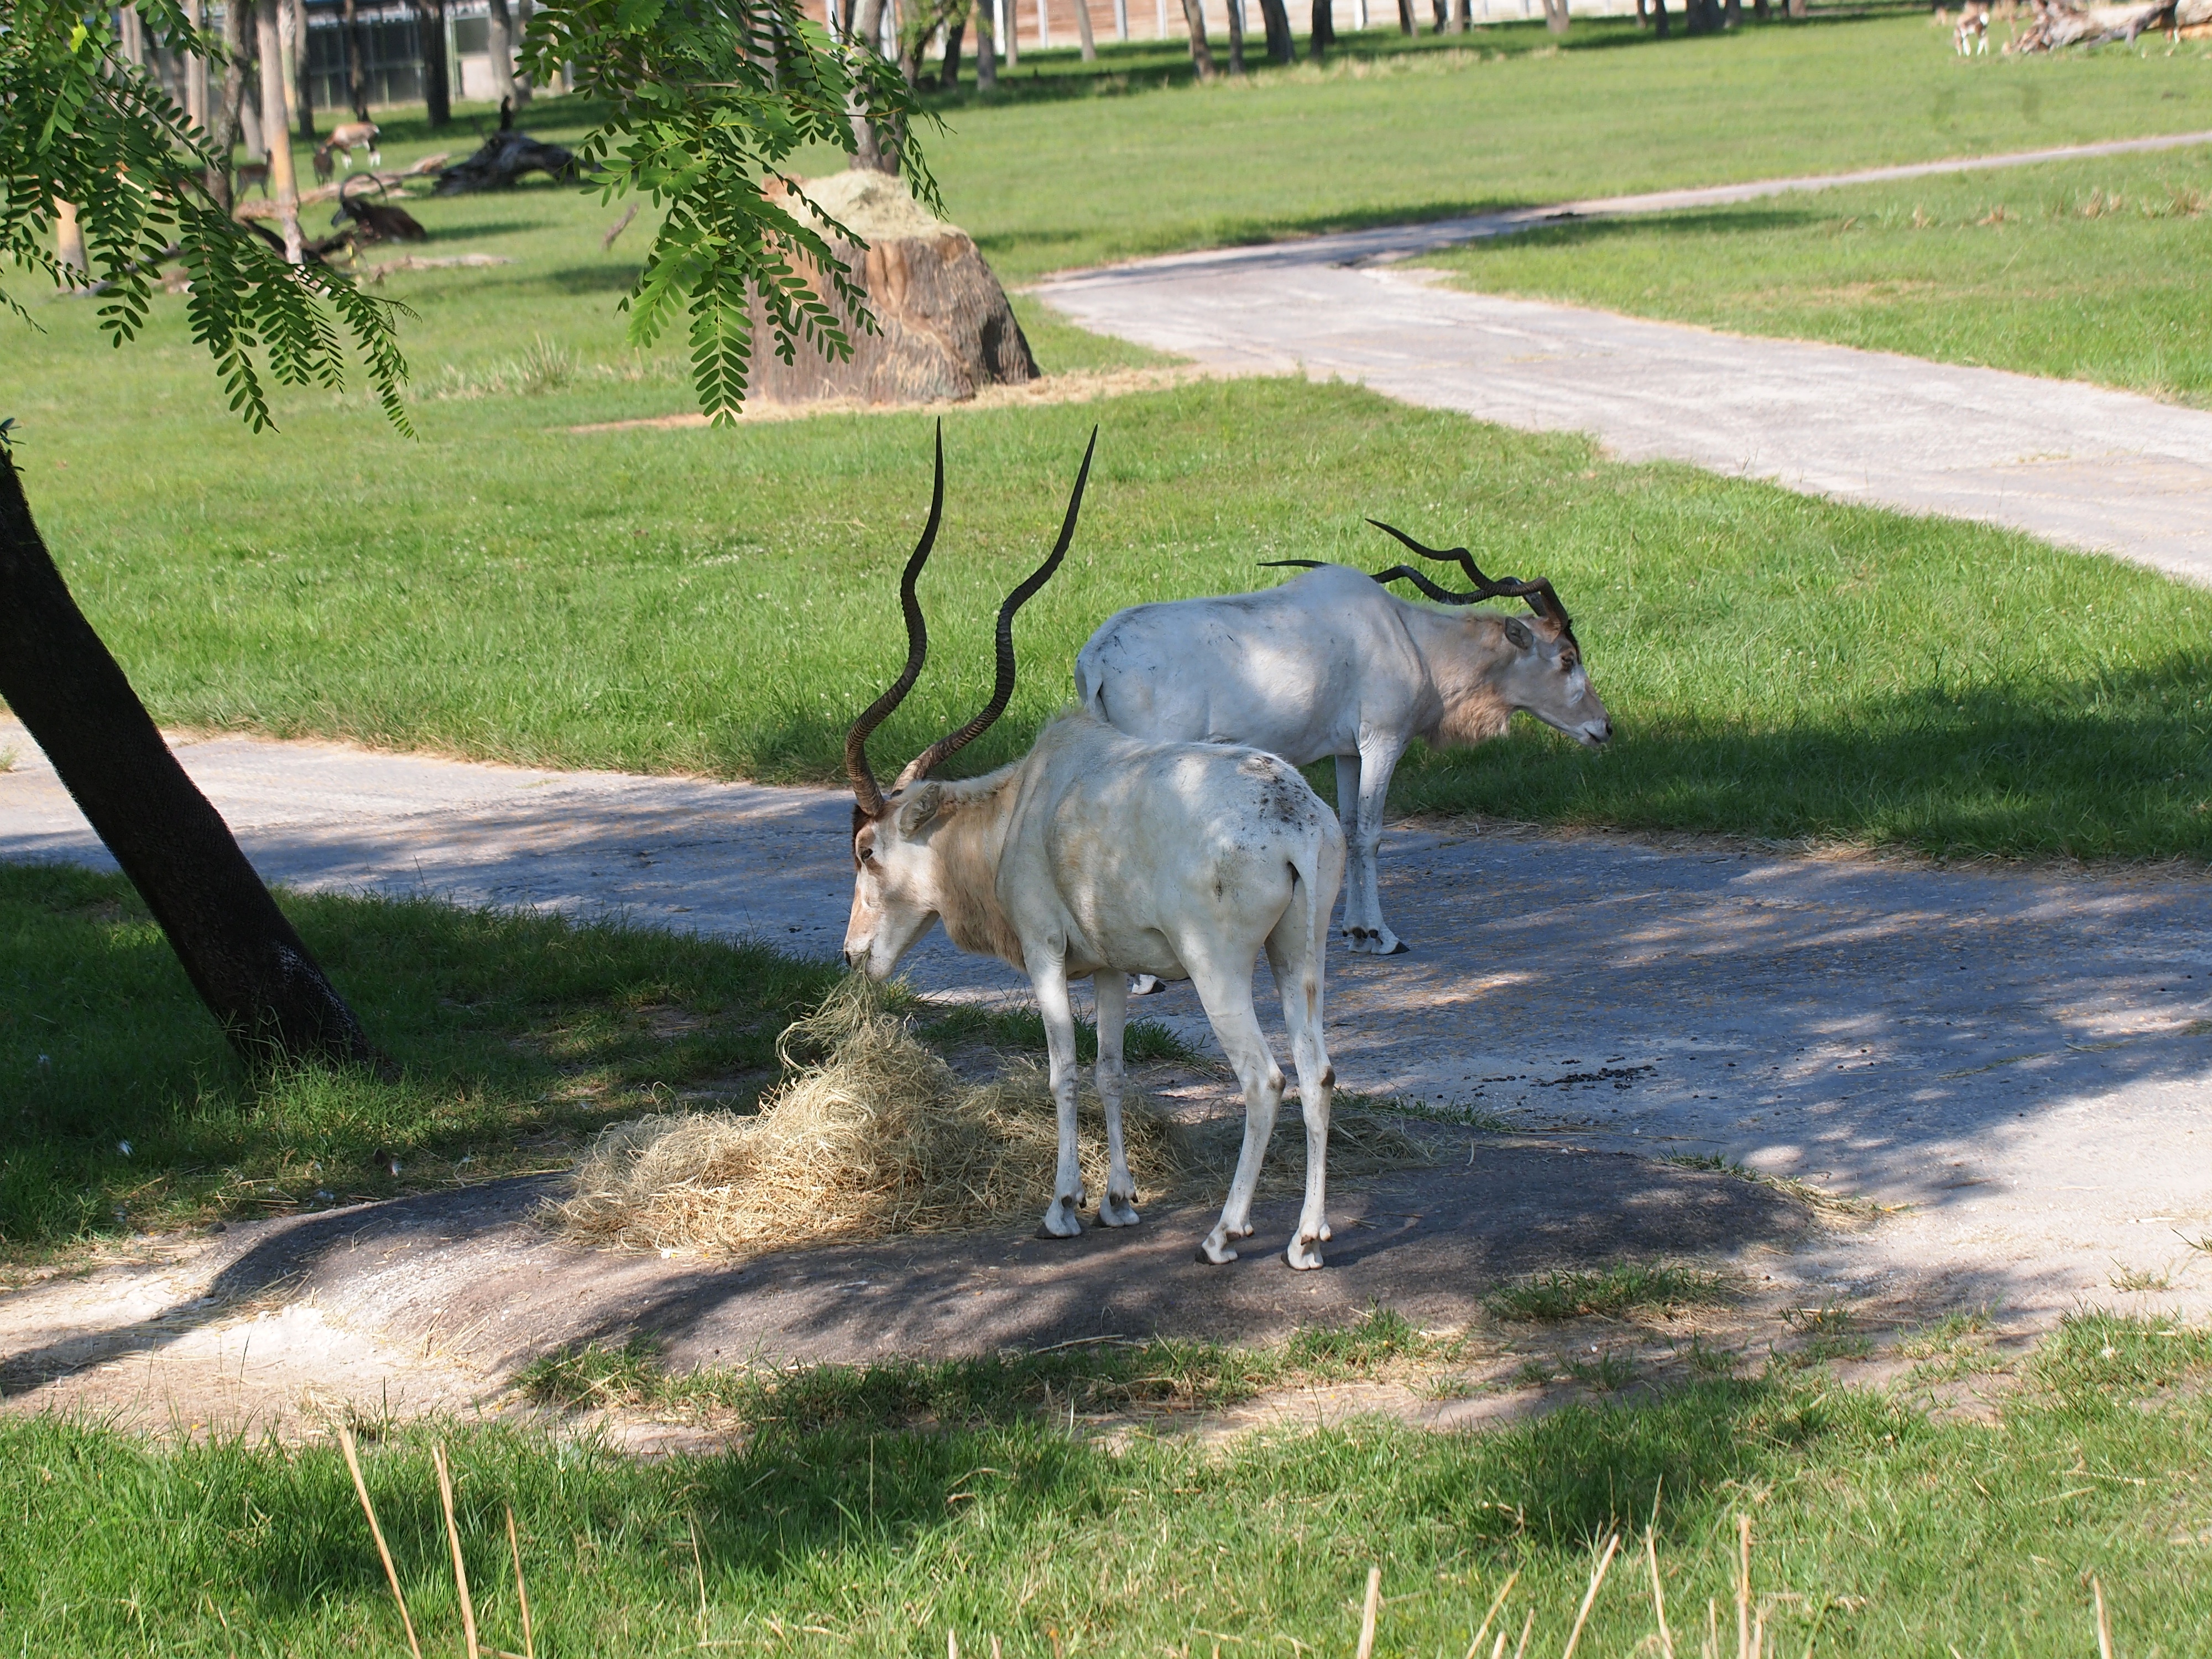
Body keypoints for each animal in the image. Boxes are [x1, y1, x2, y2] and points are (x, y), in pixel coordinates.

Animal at [844, 431, 1349, 1270]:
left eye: (866, 850)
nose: (854, 957)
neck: (1018, 810)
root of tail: (1294, 817)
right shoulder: (1114, 967)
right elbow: (1113, 1071)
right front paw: (1118, 1201)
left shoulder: (1047, 955)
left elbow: (1065, 1073)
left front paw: (1063, 1208)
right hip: (1298, 957)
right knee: (1319, 1073)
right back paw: (1306, 1239)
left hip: (1218, 968)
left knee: (1265, 1079)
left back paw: (1224, 1233)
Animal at [1076, 522, 1610, 961]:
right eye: (1567, 657)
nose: (1604, 727)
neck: (1410, 638)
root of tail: (1097, 656)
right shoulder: (1383, 740)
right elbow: (1371, 834)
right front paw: (1382, 936)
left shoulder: (1348, 752)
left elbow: (1351, 829)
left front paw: (1354, 930)